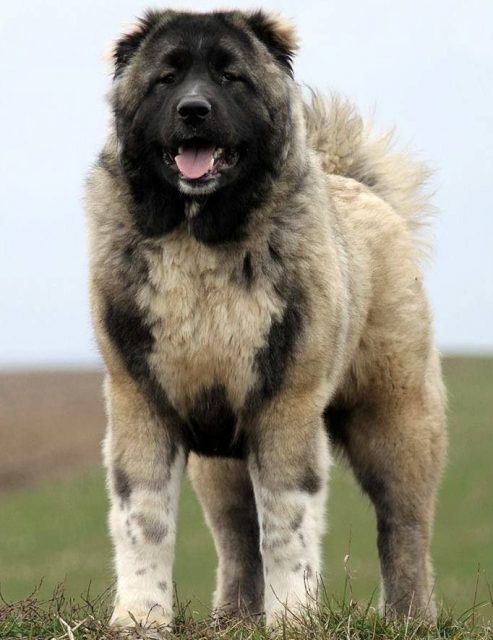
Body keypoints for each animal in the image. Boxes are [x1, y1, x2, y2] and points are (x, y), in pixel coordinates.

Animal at [84, 8, 446, 632]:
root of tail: (360, 187)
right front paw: (139, 618)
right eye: (166, 78)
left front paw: (294, 620)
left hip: (395, 420)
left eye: (232, 77)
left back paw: (409, 619)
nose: (193, 110)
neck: (200, 244)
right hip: (220, 463)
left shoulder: (285, 410)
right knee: (236, 537)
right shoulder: (143, 403)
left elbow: (287, 527)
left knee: (404, 527)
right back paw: (232, 618)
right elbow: (144, 521)